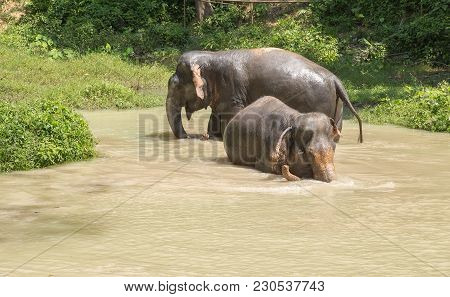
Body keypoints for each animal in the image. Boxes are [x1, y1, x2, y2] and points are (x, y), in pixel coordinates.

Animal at [165, 47, 362, 141]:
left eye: (176, 86)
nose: (188, 136)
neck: (211, 56)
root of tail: (335, 79)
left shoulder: (231, 88)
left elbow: (231, 114)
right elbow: (216, 114)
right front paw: (211, 137)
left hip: (321, 102)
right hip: (337, 106)